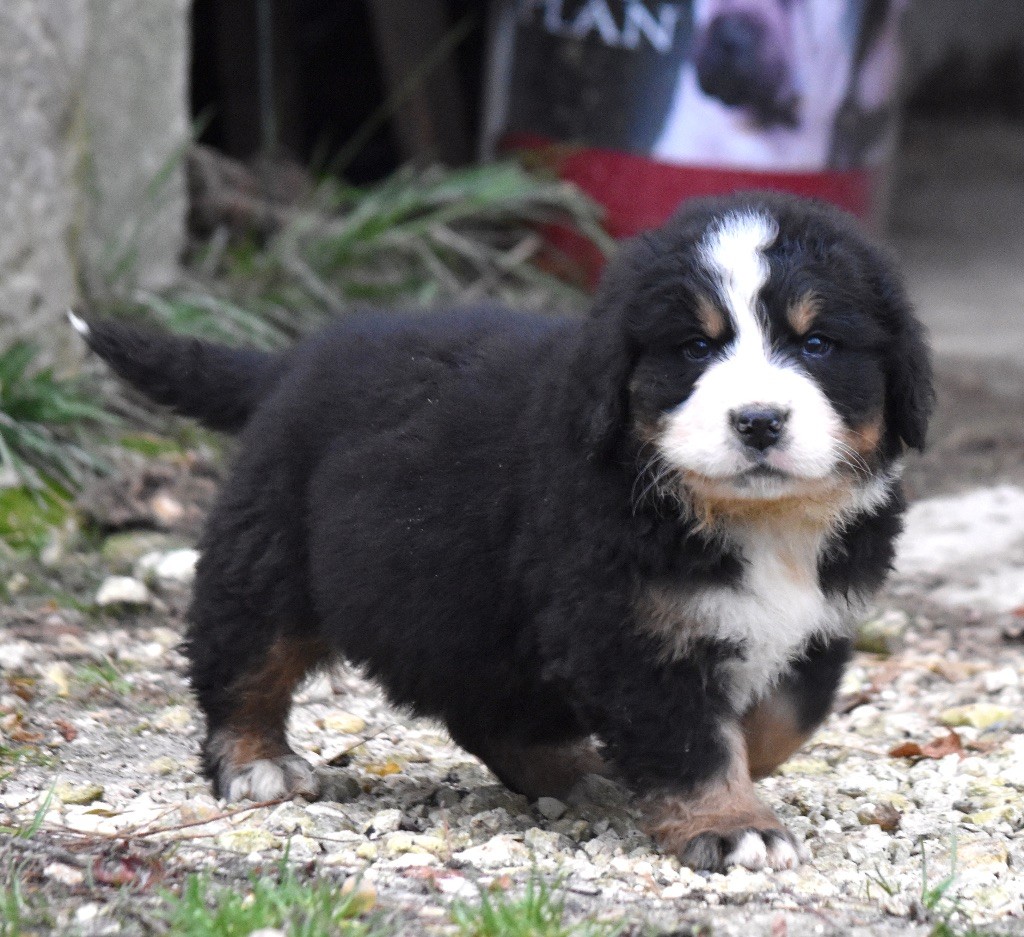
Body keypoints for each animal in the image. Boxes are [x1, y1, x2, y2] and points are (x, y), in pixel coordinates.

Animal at [75, 190, 933, 872]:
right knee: (244, 660)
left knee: (486, 707)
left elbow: (780, 721)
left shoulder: (818, 623)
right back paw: (256, 761)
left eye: (816, 343)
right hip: (273, 551)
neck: (756, 520)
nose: (758, 419)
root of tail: (296, 358)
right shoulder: (630, 631)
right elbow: (693, 737)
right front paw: (730, 824)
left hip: (466, 610)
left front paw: (733, 783)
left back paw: (571, 770)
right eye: (695, 346)